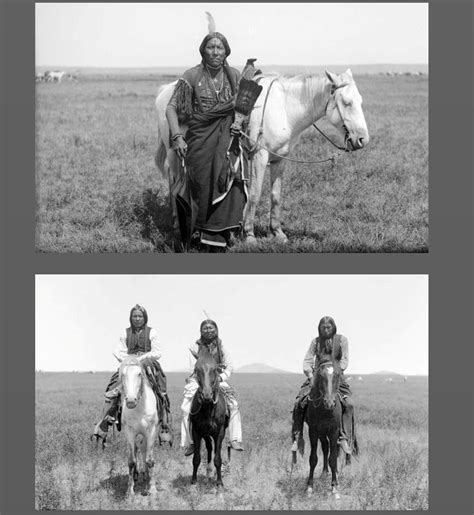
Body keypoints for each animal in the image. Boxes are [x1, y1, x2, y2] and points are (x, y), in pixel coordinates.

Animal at [119, 356, 160, 498]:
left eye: (139, 374)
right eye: (123, 374)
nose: (131, 400)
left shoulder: (151, 431)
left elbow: (150, 460)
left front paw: (152, 489)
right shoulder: (129, 432)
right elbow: (131, 461)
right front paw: (130, 490)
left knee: (144, 451)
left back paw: (147, 478)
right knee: (139, 451)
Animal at [154, 69, 368, 246]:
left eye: (360, 101)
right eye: (346, 103)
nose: (362, 139)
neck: (284, 108)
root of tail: (166, 90)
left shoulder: (280, 159)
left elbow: (275, 195)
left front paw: (277, 232)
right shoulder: (259, 156)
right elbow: (255, 194)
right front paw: (249, 234)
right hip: (175, 152)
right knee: (176, 186)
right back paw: (178, 224)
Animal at [191, 346, 231, 488]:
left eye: (215, 369)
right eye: (197, 369)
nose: (206, 395)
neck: (208, 408)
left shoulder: (219, 432)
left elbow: (217, 458)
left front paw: (219, 482)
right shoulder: (196, 431)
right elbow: (196, 458)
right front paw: (193, 480)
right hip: (205, 433)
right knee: (209, 447)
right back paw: (208, 472)